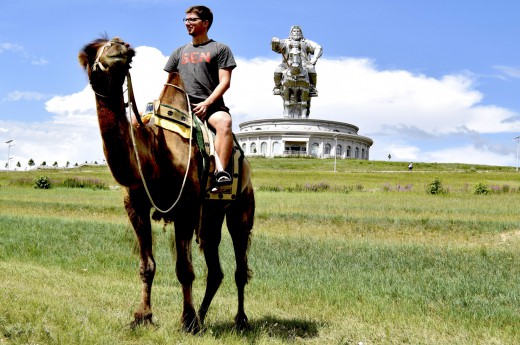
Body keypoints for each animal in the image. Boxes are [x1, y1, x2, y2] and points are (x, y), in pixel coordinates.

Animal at [78, 36, 255, 332]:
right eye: (91, 52)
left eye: (126, 51)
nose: (117, 46)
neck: (155, 153)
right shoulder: (136, 205)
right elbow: (146, 265)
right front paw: (142, 316)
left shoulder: (185, 207)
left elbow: (184, 270)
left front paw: (187, 321)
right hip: (210, 216)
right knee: (215, 270)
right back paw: (203, 317)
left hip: (241, 208)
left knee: (240, 267)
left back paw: (239, 320)